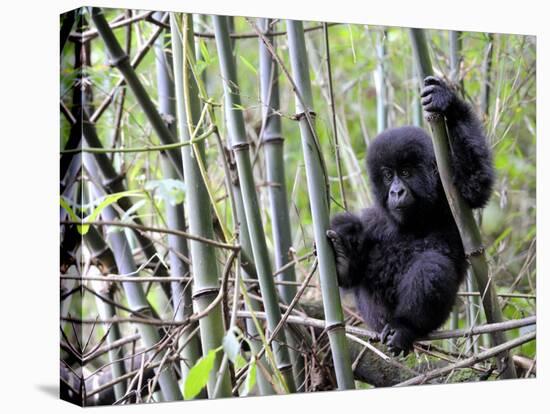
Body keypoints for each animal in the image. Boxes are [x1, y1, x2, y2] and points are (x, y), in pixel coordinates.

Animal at [328, 77, 496, 356]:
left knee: (431, 266)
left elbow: (475, 182)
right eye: (388, 175)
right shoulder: (375, 218)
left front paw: (448, 103)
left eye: (406, 172)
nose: (396, 191)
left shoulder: (452, 199)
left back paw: (404, 328)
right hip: (376, 320)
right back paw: (343, 258)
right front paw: (344, 256)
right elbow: (354, 270)